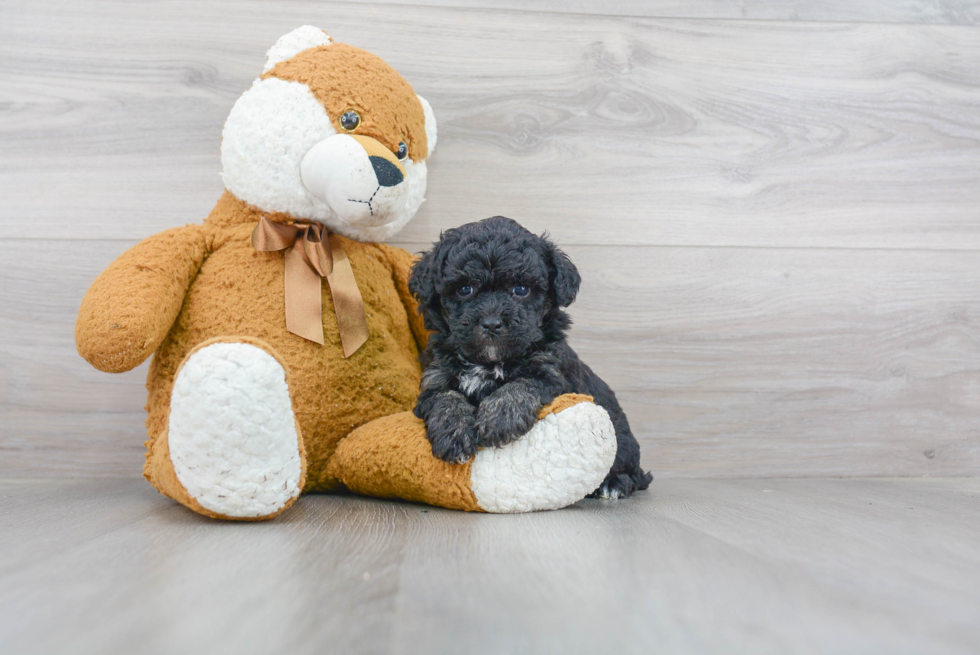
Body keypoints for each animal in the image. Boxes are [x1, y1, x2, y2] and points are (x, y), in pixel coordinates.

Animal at [410, 218, 656, 500]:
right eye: (465, 289)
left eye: (521, 289)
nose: (492, 323)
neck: (490, 361)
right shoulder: (435, 377)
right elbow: (446, 398)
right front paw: (454, 433)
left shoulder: (550, 372)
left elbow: (520, 385)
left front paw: (500, 419)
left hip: (622, 441)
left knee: (633, 472)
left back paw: (614, 483)